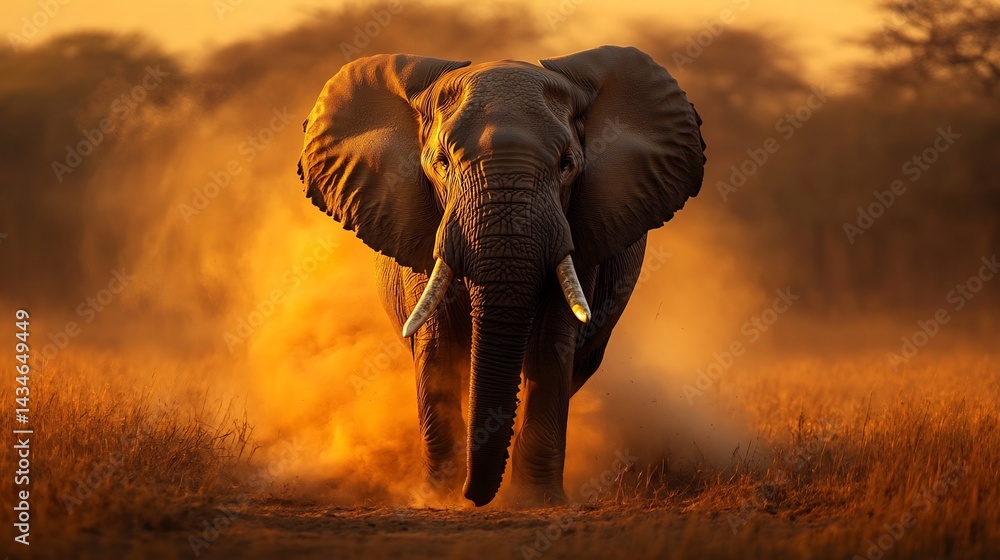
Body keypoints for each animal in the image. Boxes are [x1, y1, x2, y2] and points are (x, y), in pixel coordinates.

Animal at [297, 46, 706, 507]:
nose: (474, 497)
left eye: (567, 165)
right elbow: (437, 346)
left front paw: (536, 502)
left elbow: (551, 344)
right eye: (441, 163)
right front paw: (440, 500)